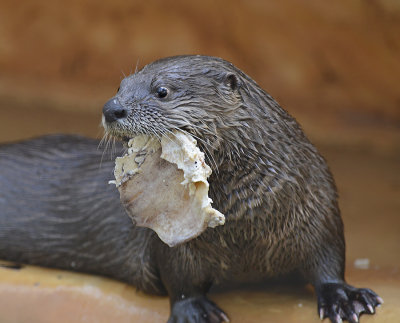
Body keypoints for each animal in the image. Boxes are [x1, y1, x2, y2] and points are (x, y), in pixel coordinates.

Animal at [0, 56, 382, 323]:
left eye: (162, 91)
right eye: (120, 86)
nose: (112, 108)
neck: (245, 223)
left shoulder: (316, 203)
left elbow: (328, 257)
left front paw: (344, 297)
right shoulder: (174, 246)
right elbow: (180, 279)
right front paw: (194, 311)